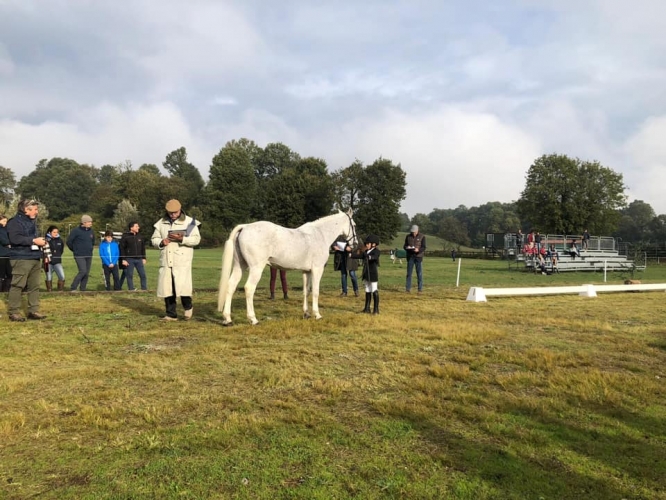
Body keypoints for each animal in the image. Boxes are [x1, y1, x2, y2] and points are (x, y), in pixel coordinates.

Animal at [218, 209, 356, 326]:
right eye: (354, 225)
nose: (355, 244)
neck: (320, 235)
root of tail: (245, 227)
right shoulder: (317, 269)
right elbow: (316, 292)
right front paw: (317, 315)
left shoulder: (306, 271)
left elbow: (306, 291)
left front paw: (306, 314)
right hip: (256, 268)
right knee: (249, 288)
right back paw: (253, 319)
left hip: (239, 266)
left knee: (231, 286)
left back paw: (227, 319)